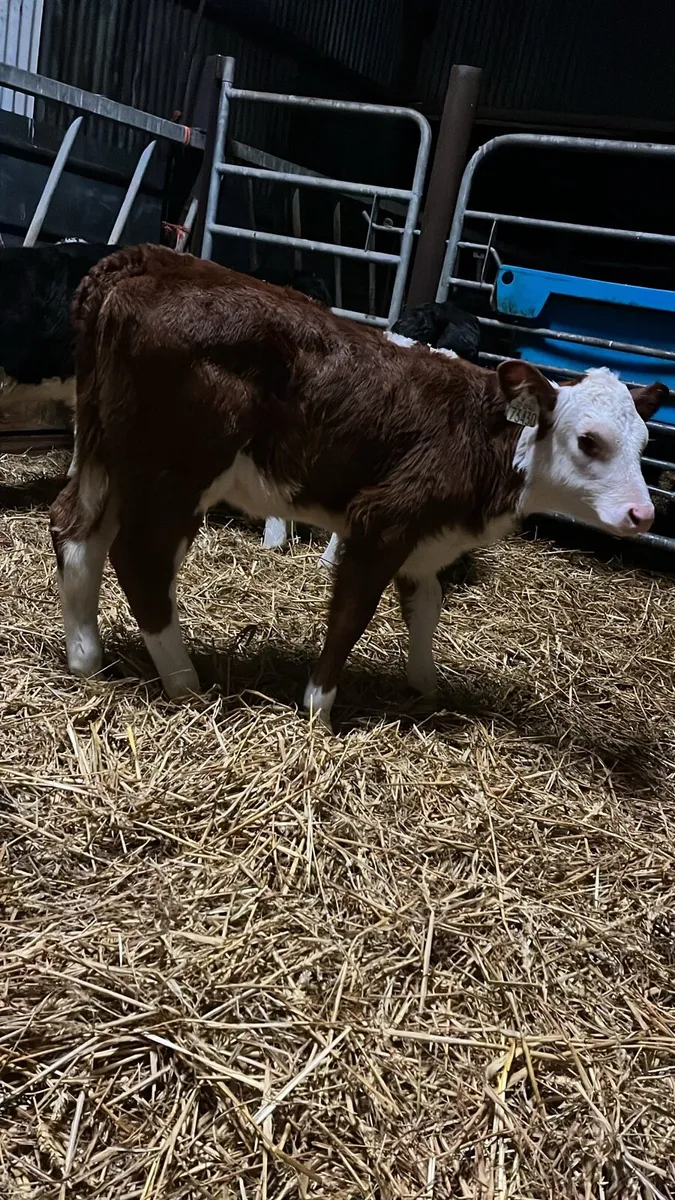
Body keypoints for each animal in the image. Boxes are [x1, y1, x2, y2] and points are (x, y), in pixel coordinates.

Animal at [50, 245, 664, 726]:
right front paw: (319, 710)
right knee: (140, 561)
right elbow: (352, 613)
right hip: (174, 472)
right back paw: (185, 683)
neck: (481, 436)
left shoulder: (425, 537)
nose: (644, 515)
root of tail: (145, 260)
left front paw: (425, 686)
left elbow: (426, 606)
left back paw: (87, 661)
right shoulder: (383, 520)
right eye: (588, 440)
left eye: (643, 444)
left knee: (76, 532)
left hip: (107, 453)